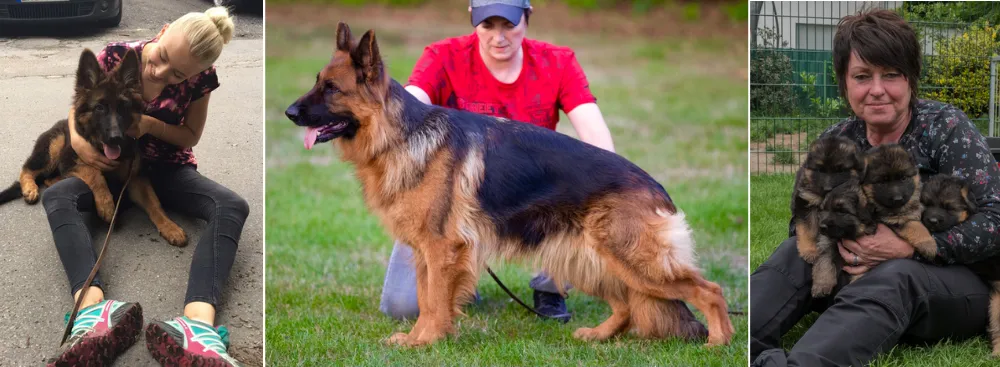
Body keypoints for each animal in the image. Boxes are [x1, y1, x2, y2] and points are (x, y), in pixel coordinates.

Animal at [0, 46, 188, 247]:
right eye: (99, 108)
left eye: (123, 107)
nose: (116, 138)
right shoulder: (69, 160)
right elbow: (94, 173)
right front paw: (107, 205)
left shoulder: (136, 178)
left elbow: (154, 202)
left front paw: (170, 226)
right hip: (55, 146)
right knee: (28, 169)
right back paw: (30, 188)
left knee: (48, 179)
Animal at [282, 23, 736, 348]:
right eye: (316, 81)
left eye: (331, 89)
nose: (288, 112)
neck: (400, 134)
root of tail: (657, 189)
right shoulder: (426, 253)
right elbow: (427, 299)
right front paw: (422, 338)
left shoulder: (439, 249)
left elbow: (433, 302)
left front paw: (423, 343)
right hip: (590, 258)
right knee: (627, 304)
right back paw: (600, 335)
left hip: (633, 261)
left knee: (710, 291)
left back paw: (718, 342)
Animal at [792, 135, 864, 264]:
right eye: (820, 170)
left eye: (840, 170)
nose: (827, 188)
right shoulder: (806, 201)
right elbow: (808, 228)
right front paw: (809, 251)